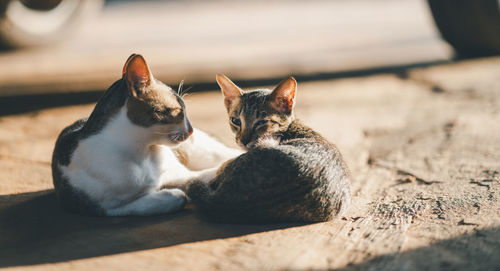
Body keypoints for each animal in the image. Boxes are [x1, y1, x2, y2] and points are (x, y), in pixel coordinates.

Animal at [51, 54, 239, 217]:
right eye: (179, 111)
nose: (191, 129)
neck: (141, 152)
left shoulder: (179, 173)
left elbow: (210, 172)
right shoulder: (106, 208)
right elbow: (174, 197)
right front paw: (172, 193)